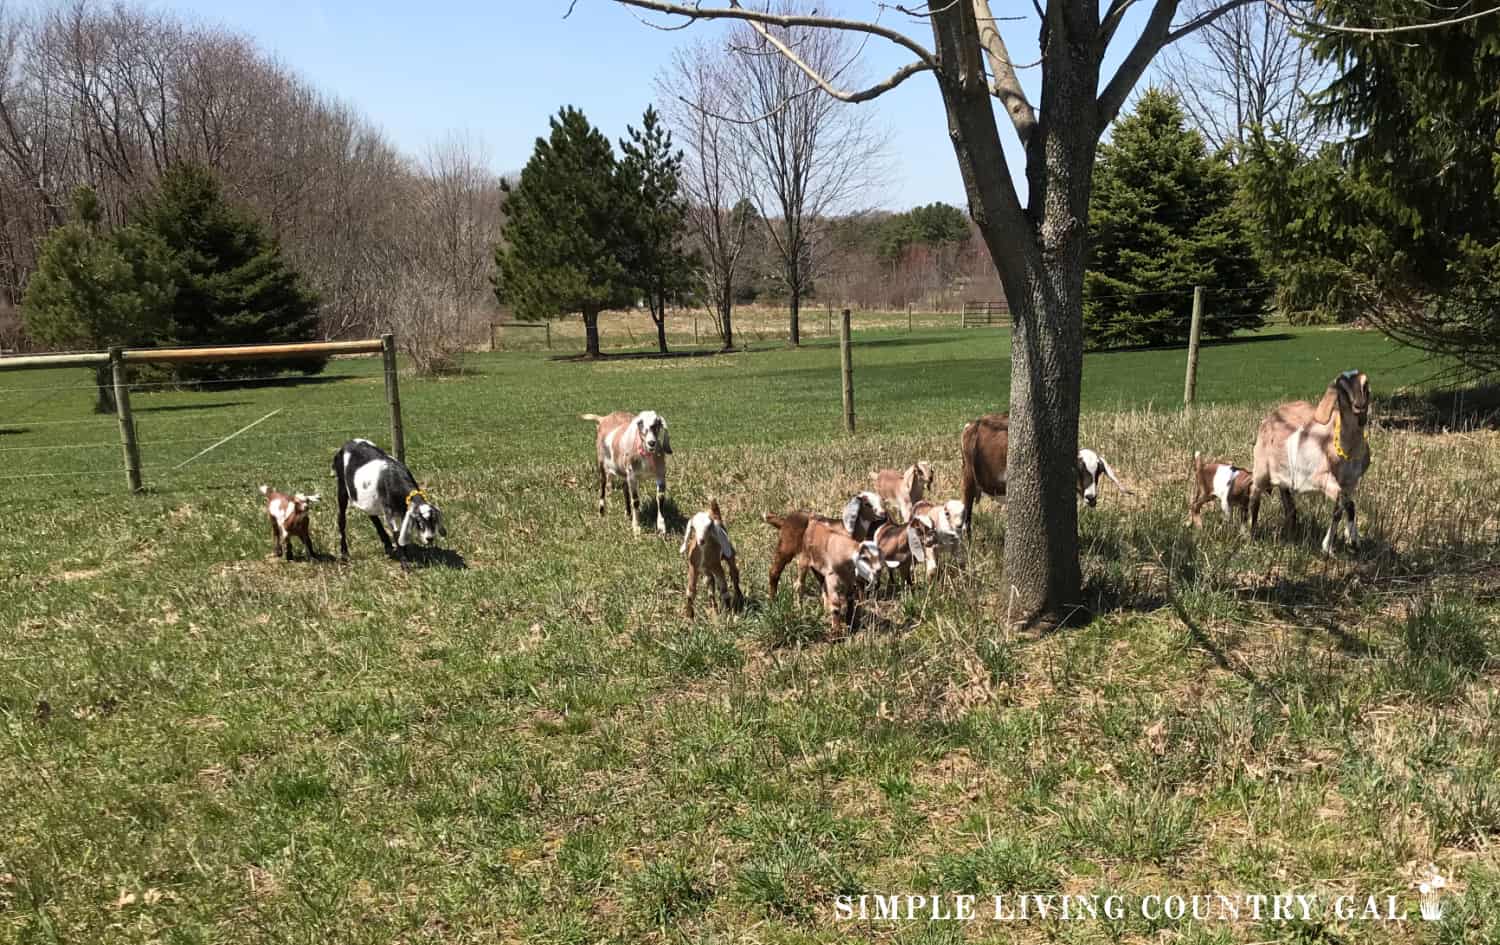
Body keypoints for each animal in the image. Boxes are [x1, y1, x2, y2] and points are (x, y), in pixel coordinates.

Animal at [1248, 370, 1373, 554]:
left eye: (1365, 385)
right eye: (1341, 387)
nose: (1359, 406)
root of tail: (1271, 416)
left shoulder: (1350, 482)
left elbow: (1344, 507)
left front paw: (1349, 540)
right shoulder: (1320, 477)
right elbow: (1346, 504)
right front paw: (1337, 544)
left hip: (1285, 477)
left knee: (1289, 505)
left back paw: (1291, 532)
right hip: (1261, 470)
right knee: (1254, 496)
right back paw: (1250, 534)